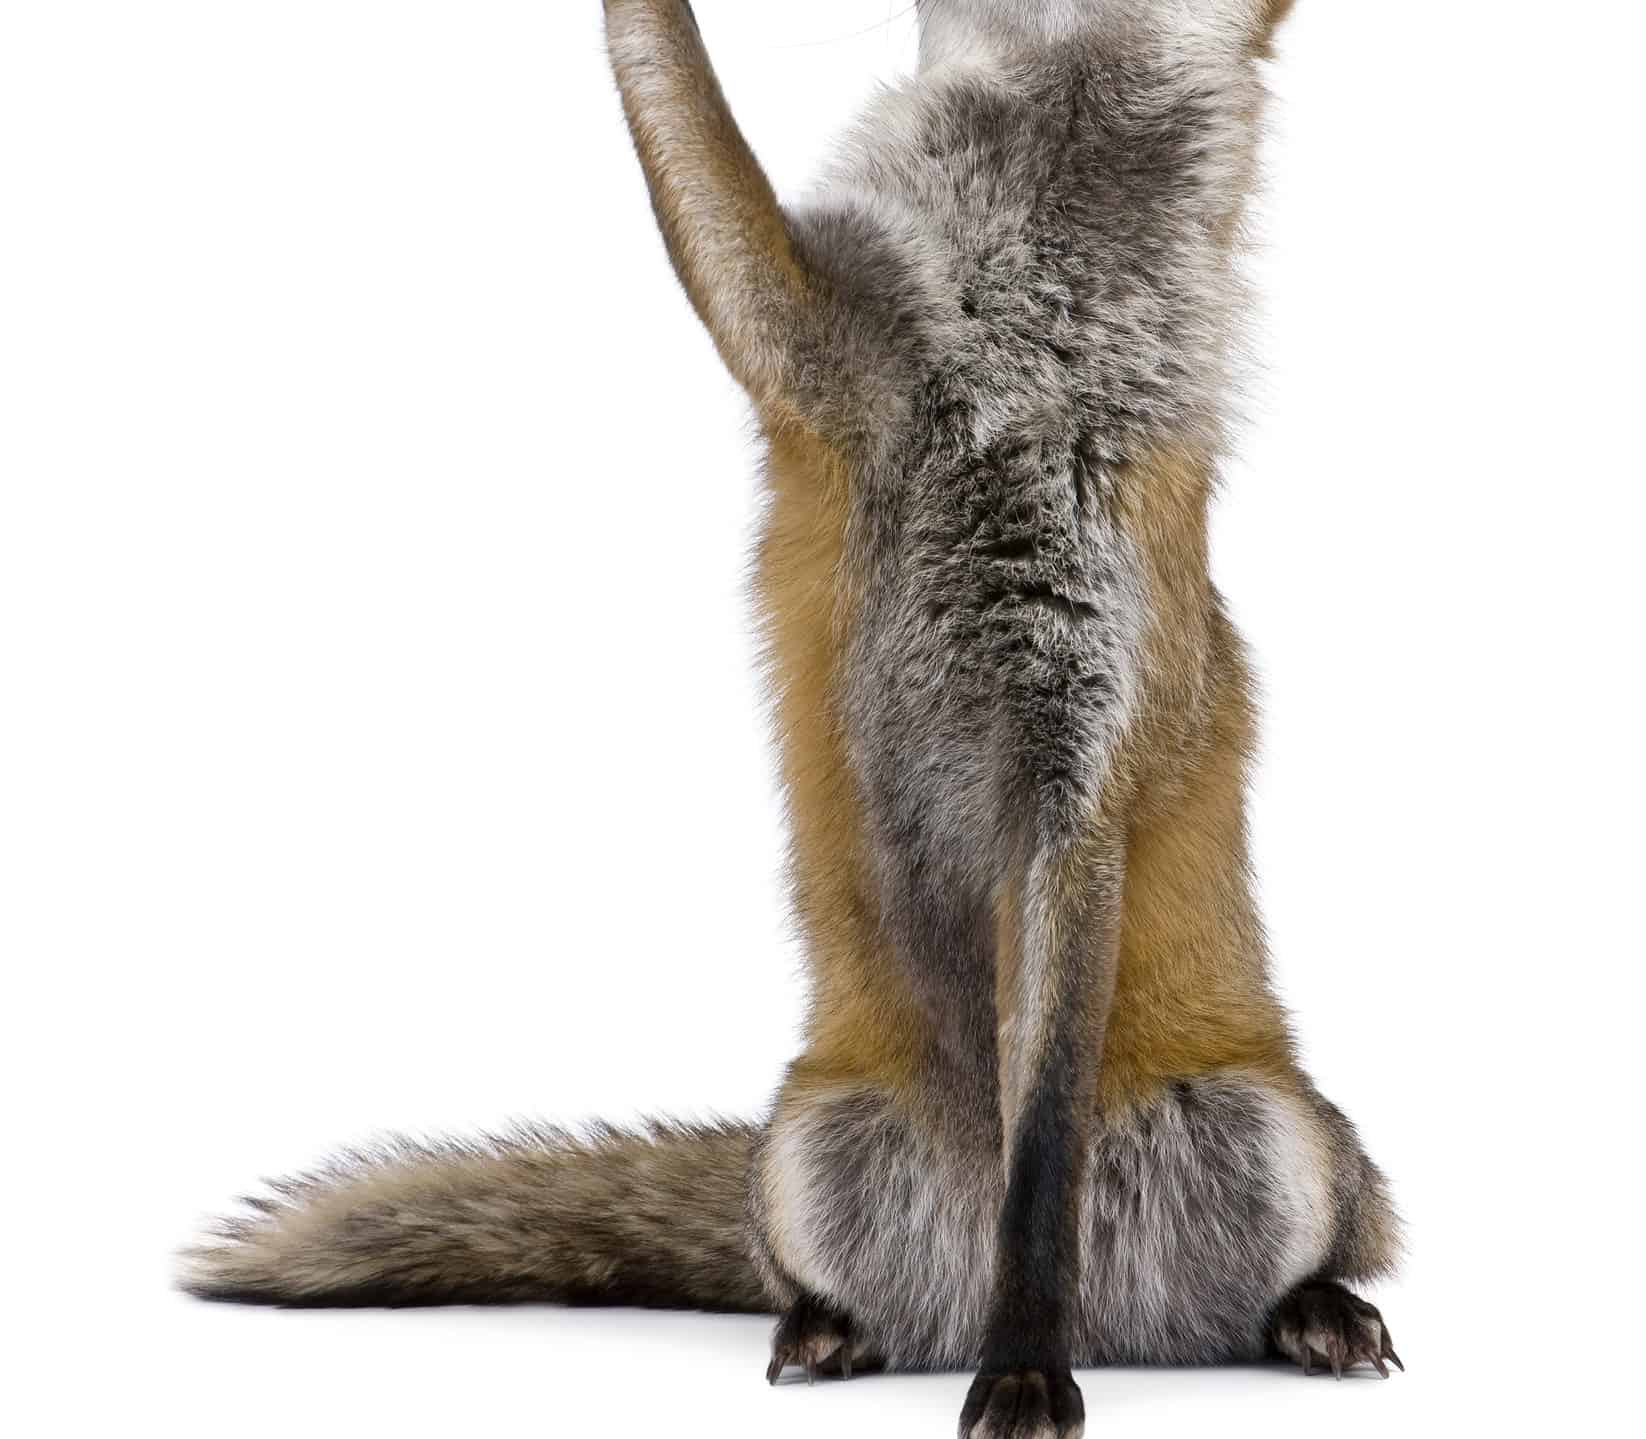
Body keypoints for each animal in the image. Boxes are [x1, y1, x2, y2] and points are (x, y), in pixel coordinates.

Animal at [180, 3, 1403, 1434]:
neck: (1006, 360)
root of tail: (1123, 1327)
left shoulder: (1077, 758)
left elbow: (1039, 1157)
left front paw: (1022, 1364)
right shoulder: (812, 348)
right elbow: (689, 115)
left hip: (1276, 1135)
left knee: (1278, 1256)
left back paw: (1302, 1312)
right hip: (811, 1155)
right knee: (822, 1280)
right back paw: (829, 1328)